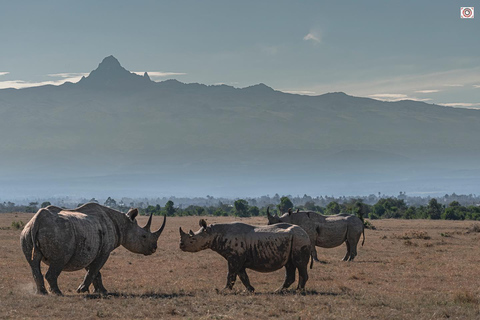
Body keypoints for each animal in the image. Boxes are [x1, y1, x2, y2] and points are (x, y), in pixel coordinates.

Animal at [20, 202, 166, 296]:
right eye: (144, 236)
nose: (154, 248)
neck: (123, 224)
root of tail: (37, 220)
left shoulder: (88, 249)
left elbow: (94, 270)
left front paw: (102, 291)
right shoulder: (104, 251)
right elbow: (94, 269)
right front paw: (82, 290)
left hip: (26, 231)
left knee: (33, 263)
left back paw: (42, 293)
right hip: (58, 233)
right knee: (59, 261)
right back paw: (58, 293)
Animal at [180, 220, 312, 292]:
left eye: (192, 240)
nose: (181, 246)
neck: (213, 233)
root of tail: (306, 233)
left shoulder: (234, 257)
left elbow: (231, 274)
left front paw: (222, 291)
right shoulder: (237, 257)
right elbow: (242, 275)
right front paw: (250, 290)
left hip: (300, 239)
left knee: (299, 264)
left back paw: (298, 291)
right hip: (295, 240)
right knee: (289, 265)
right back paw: (279, 291)